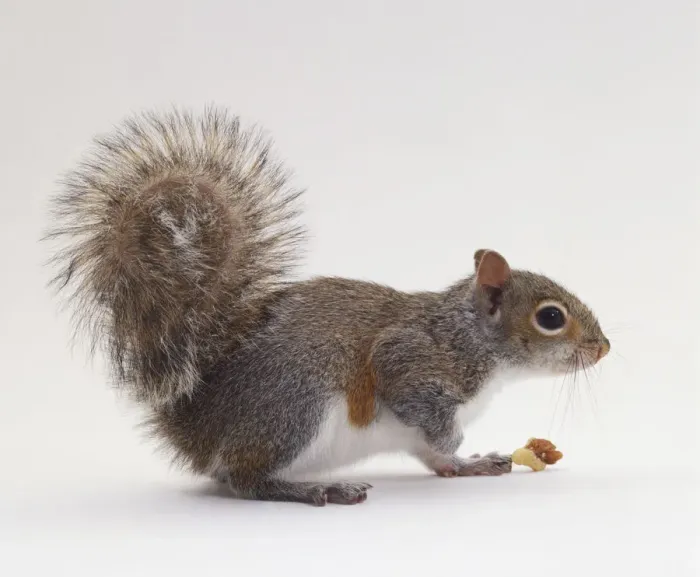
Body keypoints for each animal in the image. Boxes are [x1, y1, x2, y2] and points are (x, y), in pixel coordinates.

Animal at [47, 108, 610, 506]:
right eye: (551, 317)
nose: (603, 348)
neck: (471, 337)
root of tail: (197, 424)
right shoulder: (416, 359)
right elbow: (421, 409)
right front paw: (458, 441)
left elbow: (434, 457)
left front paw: (468, 462)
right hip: (293, 408)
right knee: (244, 479)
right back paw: (314, 489)